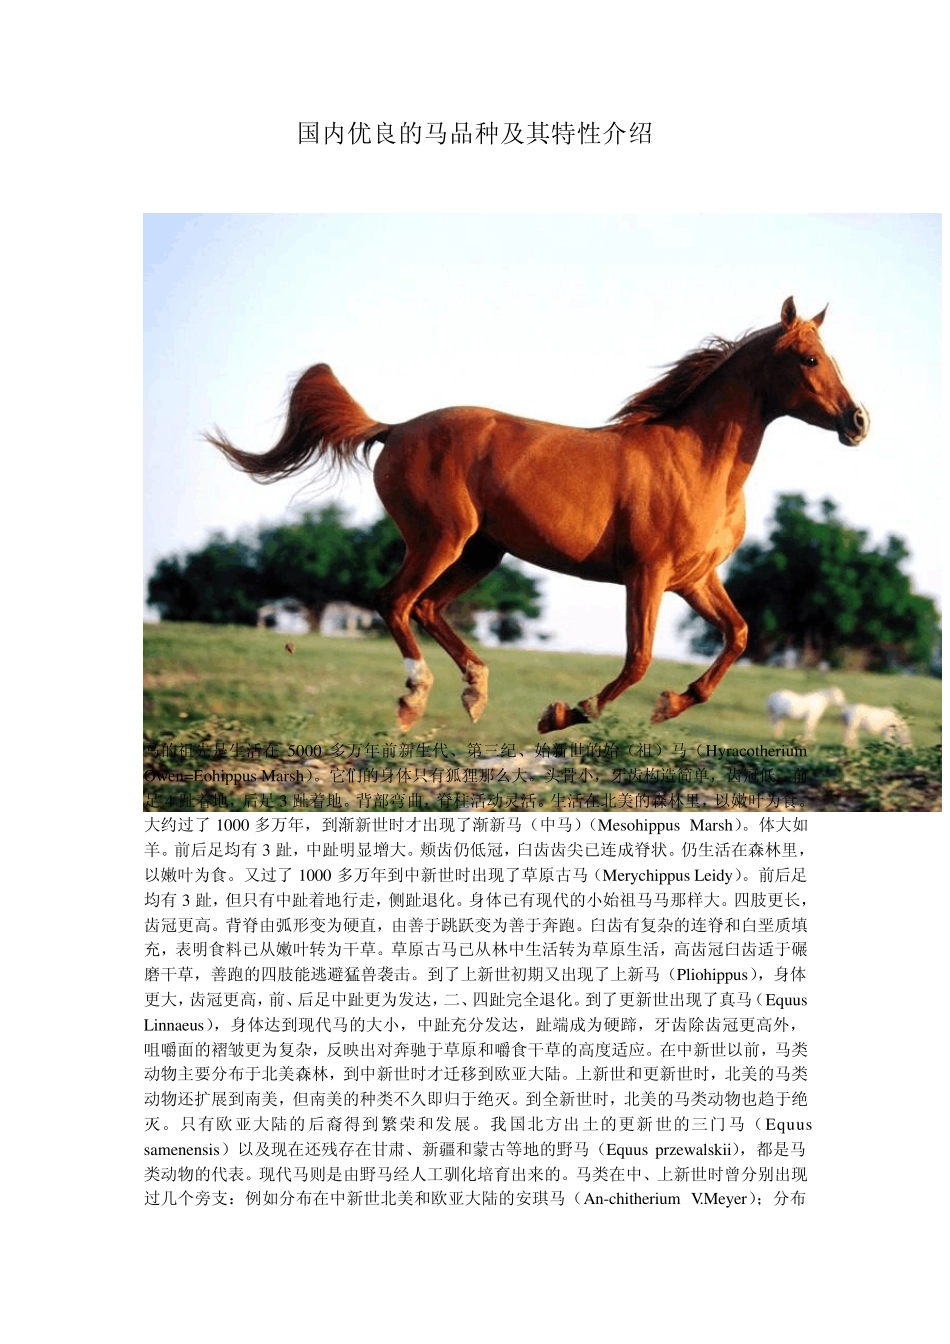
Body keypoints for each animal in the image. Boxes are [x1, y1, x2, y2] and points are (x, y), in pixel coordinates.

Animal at [207, 296, 869, 733]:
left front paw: (670, 704)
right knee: (394, 601)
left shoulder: (695, 579)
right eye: (809, 359)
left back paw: (475, 694)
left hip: (482, 551)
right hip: (440, 539)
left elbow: (738, 635)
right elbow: (638, 659)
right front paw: (568, 713)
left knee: (427, 607)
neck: (696, 461)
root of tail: (394, 429)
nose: (858, 422)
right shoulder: (647, 575)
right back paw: (415, 699)